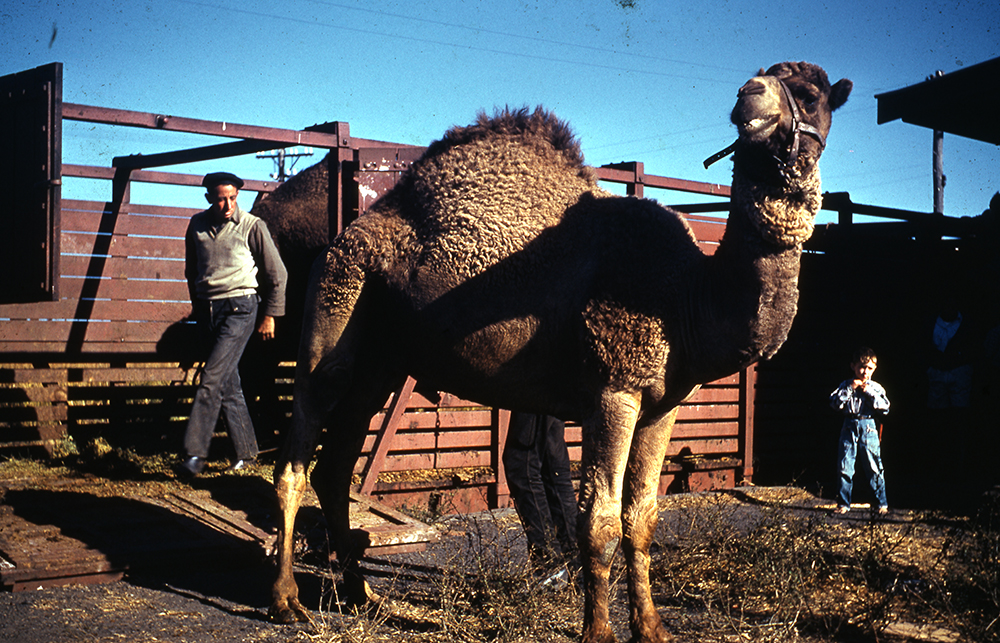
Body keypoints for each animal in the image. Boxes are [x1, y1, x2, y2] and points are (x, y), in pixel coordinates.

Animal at [269, 61, 852, 642]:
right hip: (337, 299)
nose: (749, 97)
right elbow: (599, 520)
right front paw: (599, 632)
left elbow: (642, 518)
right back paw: (286, 600)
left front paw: (651, 628)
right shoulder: (613, 391)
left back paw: (360, 593)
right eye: (758, 82)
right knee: (299, 448)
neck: (688, 294)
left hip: (384, 360)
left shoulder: (665, 404)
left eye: (811, 94)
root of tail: (351, 231)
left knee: (335, 465)